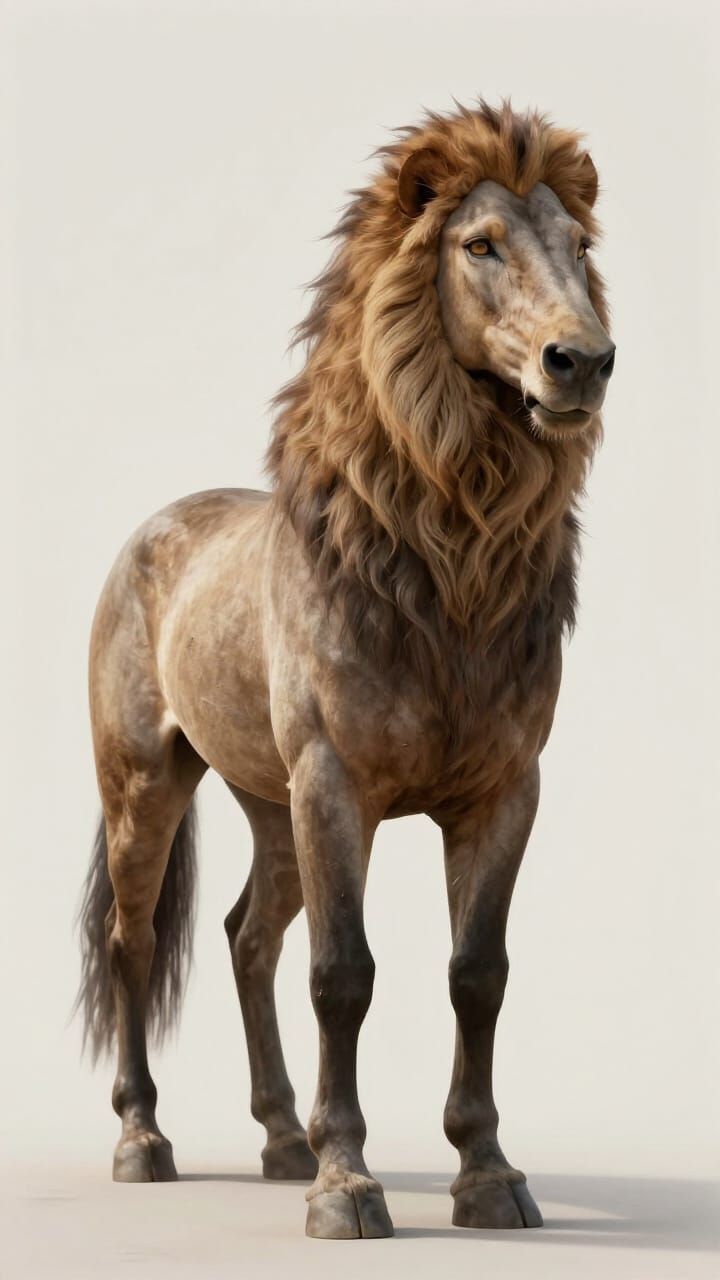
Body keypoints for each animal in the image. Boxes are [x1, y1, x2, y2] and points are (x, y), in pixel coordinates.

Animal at [76, 99, 614, 1240]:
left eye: (579, 247)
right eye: (479, 244)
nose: (581, 363)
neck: (446, 583)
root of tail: (150, 531)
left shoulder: (503, 792)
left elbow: (478, 974)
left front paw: (488, 1177)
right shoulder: (335, 784)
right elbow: (343, 974)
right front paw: (348, 1187)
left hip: (266, 802)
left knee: (246, 938)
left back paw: (280, 1139)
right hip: (148, 783)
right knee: (135, 942)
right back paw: (146, 1142)